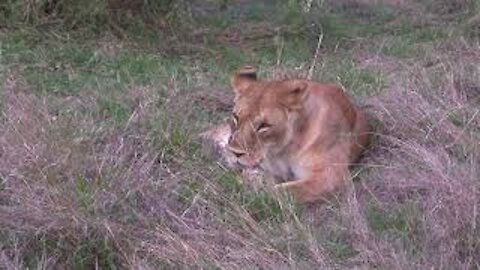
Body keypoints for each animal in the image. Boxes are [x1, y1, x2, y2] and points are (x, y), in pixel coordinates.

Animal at [226, 66, 372, 202]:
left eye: (264, 125)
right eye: (236, 117)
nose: (235, 153)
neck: (282, 152)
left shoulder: (331, 176)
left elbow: (282, 192)